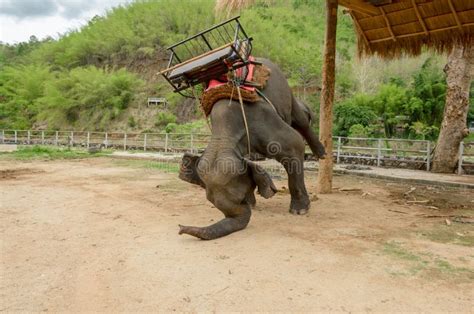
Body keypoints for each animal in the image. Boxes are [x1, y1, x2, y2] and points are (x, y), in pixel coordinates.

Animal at [178, 58, 326, 240]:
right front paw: (252, 202)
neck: (224, 137)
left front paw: (300, 211)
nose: (179, 229)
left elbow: (294, 143)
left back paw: (321, 153)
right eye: (210, 201)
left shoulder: (261, 120)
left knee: (300, 119)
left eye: (239, 198)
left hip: (283, 85)